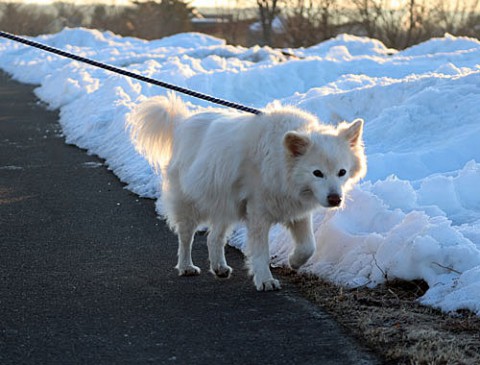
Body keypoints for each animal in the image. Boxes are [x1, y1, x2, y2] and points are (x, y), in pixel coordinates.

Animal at [125, 94, 366, 290]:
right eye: (317, 173)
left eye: (342, 172)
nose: (335, 199)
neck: (280, 161)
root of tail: (182, 123)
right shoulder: (258, 214)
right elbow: (261, 251)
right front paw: (265, 280)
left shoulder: (297, 211)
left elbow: (308, 246)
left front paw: (294, 261)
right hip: (190, 205)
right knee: (186, 238)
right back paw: (186, 267)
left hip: (225, 205)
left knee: (214, 238)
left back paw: (220, 267)